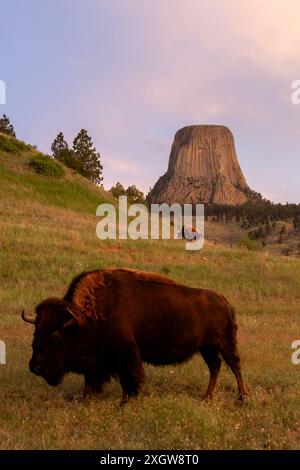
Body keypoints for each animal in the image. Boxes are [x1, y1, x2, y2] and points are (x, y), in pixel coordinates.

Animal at [21, 268, 248, 404]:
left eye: (55, 335)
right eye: (36, 330)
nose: (35, 366)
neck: (83, 320)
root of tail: (223, 300)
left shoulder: (126, 354)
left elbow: (128, 379)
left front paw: (125, 401)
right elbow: (90, 379)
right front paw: (86, 398)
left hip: (224, 343)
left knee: (235, 365)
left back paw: (243, 398)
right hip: (206, 347)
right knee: (215, 366)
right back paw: (207, 397)